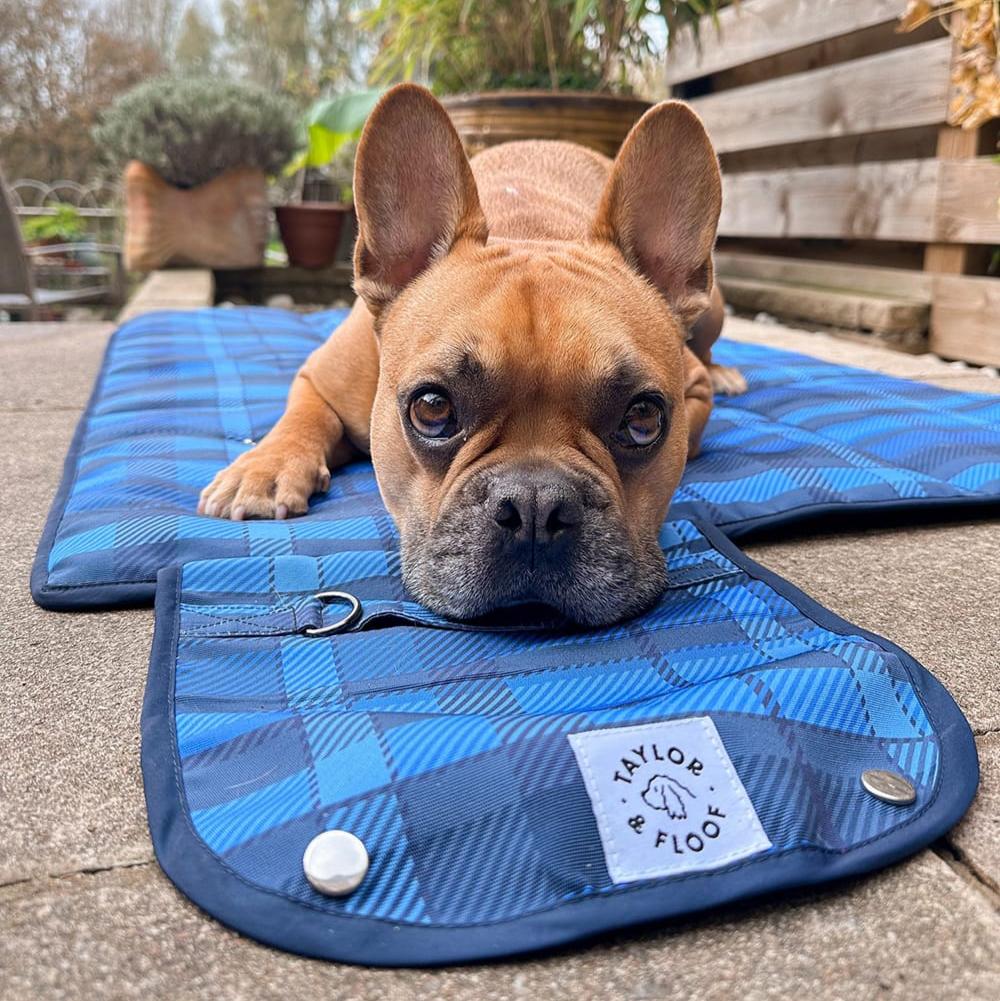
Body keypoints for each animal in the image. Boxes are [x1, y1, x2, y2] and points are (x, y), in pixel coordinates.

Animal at [197, 84, 744, 624]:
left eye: (644, 420)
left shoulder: (691, 393)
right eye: (431, 409)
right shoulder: (320, 376)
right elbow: (304, 416)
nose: (535, 504)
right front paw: (264, 469)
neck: (532, 230)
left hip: (714, 309)